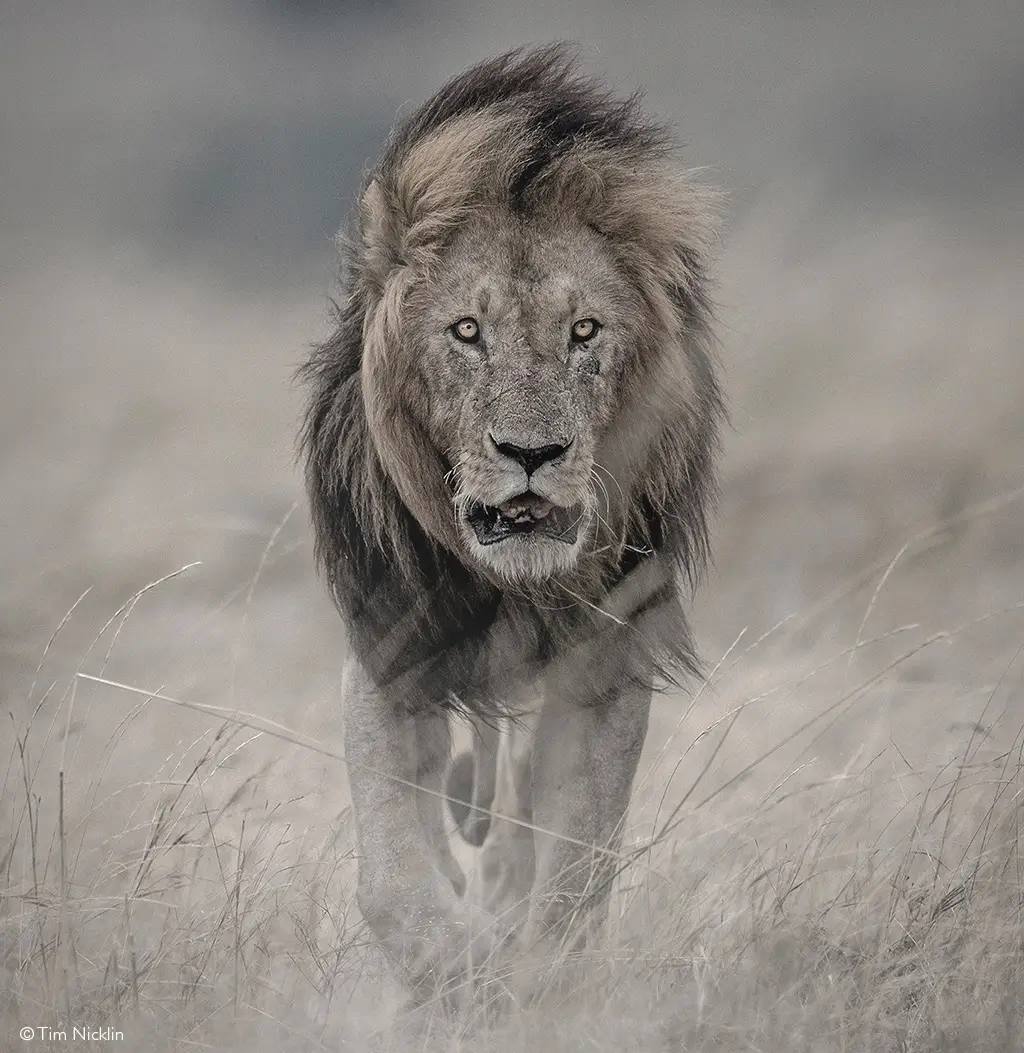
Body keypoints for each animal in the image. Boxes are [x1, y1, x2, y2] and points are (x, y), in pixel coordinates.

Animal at [299, 44, 724, 1002]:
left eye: (584, 331)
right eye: (466, 331)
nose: (533, 451)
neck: (509, 583)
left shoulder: (609, 660)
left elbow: (575, 866)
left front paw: (530, 979)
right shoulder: (391, 647)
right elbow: (393, 874)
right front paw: (453, 971)